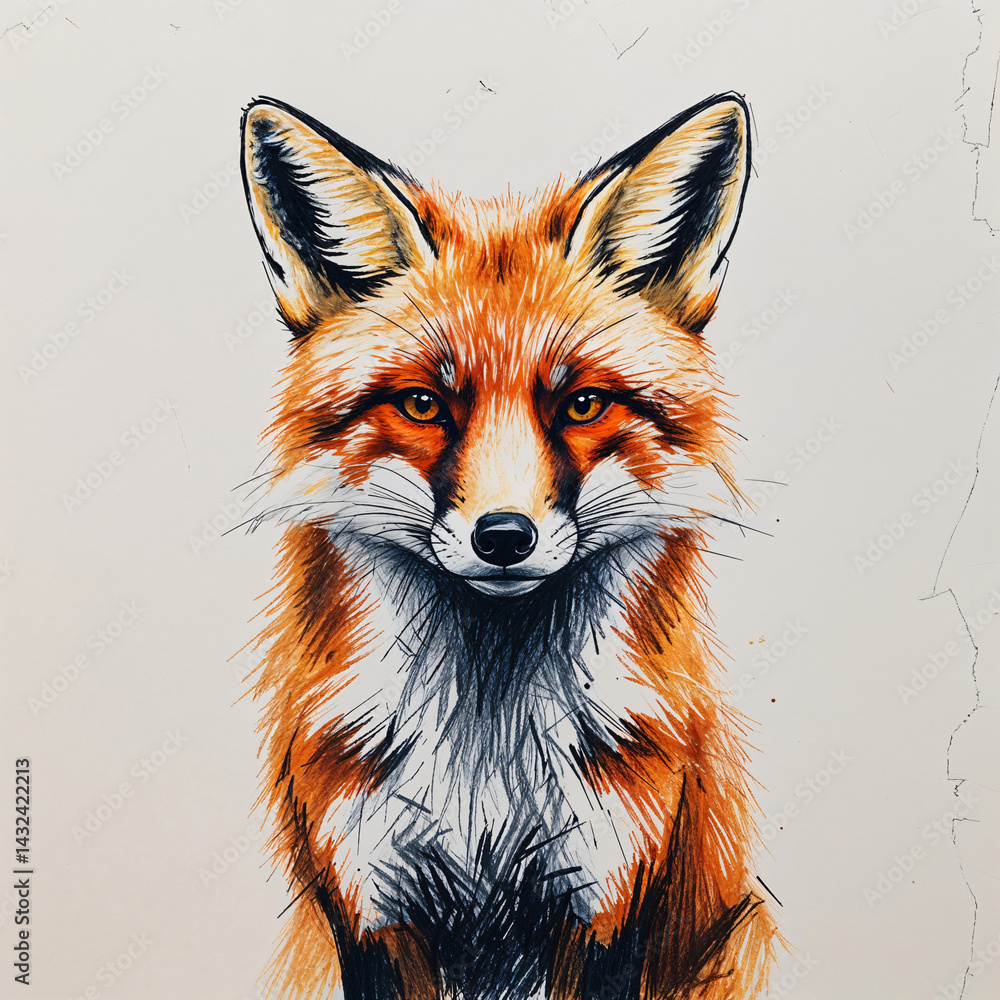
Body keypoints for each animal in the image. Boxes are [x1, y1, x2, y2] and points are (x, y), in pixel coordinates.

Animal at [239, 92, 778, 1000]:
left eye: (583, 403)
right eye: (423, 404)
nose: (502, 537)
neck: (485, 767)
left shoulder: (607, 903)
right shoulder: (370, 911)